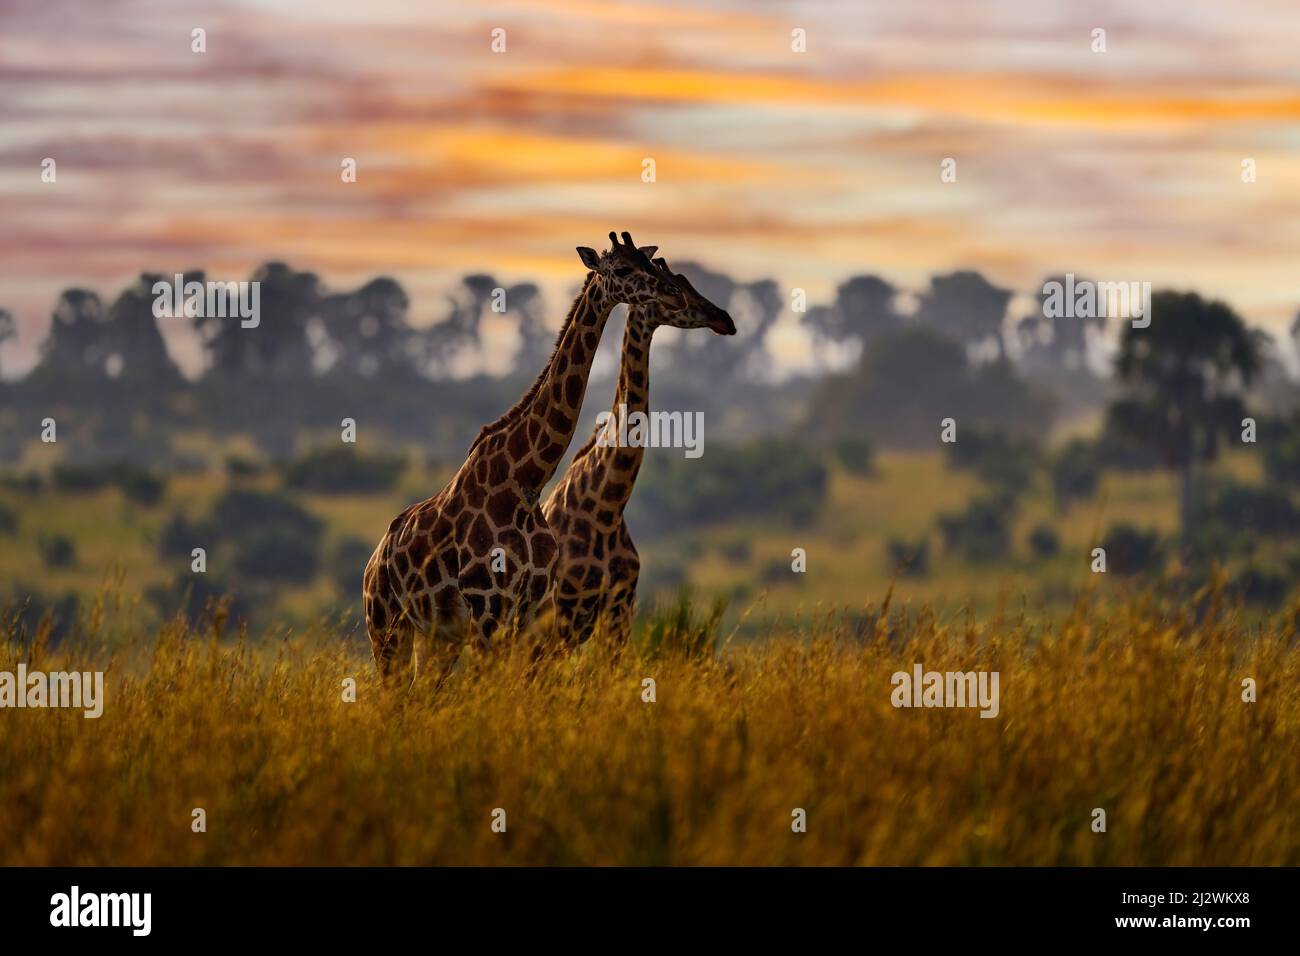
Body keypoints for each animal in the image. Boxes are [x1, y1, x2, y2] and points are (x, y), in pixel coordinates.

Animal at [363, 232, 700, 687]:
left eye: (648, 264)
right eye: (622, 268)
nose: (674, 293)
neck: (526, 479)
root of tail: (374, 559)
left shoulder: (526, 610)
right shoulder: (490, 607)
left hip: (437, 637)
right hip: (386, 625)